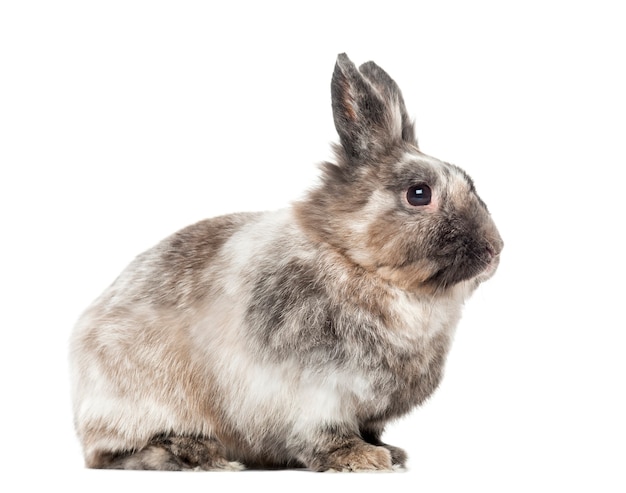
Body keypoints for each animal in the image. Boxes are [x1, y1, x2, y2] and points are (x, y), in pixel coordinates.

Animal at [69, 52, 502, 470]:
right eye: (418, 193)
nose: (495, 249)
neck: (355, 263)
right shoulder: (311, 393)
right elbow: (325, 434)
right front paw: (361, 459)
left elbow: (369, 429)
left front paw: (390, 453)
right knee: (120, 452)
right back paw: (200, 456)